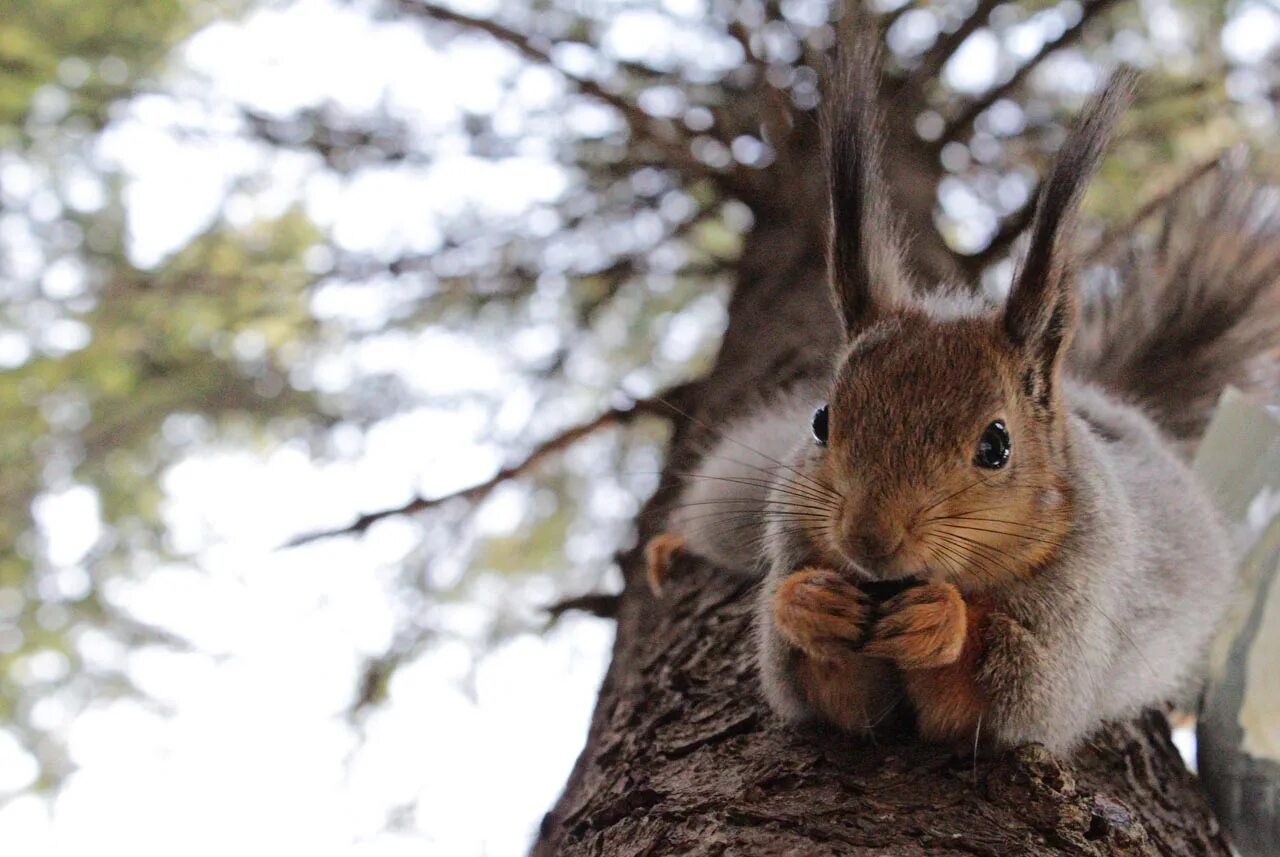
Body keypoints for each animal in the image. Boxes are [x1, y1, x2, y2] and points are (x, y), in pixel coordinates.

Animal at [645, 50, 1280, 757]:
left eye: (997, 445)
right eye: (821, 421)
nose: (868, 539)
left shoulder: (1074, 628)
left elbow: (1005, 691)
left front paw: (941, 620)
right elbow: (823, 686)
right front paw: (810, 604)